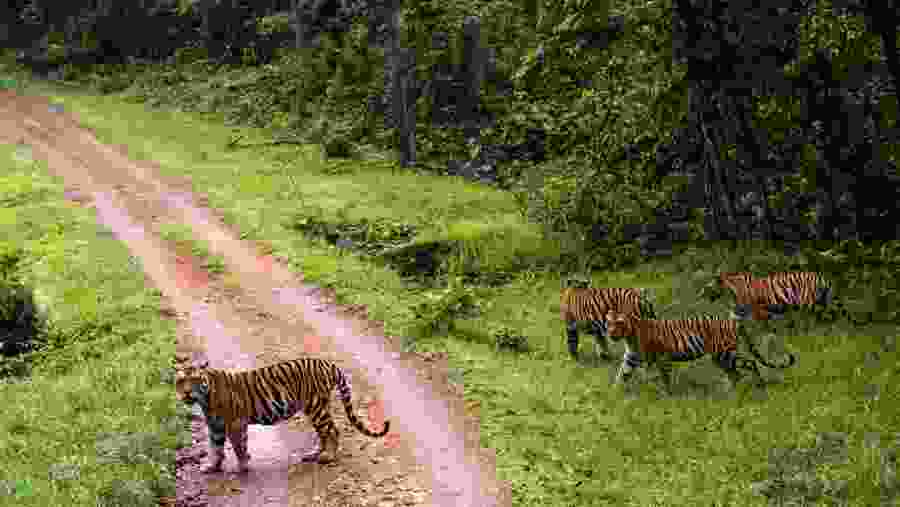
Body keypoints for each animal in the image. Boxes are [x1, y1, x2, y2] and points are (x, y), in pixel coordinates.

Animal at [175, 354, 390, 473]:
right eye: (181, 381)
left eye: (194, 380)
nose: (187, 393)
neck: (205, 398)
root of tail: (327, 363)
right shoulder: (215, 426)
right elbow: (216, 448)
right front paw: (212, 467)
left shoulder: (235, 423)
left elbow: (238, 446)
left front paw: (243, 466)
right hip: (316, 408)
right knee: (324, 432)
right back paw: (313, 454)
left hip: (316, 407)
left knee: (332, 430)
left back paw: (329, 457)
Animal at [604, 311, 796, 393]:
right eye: (609, 322)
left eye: (619, 323)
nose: (611, 333)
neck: (629, 336)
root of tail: (734, 321)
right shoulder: (630, 357)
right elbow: (622, 374)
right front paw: (614, 394)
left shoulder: (662, 358)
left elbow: (663, 377)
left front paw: (666, 393)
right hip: (720, 357)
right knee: (735, 374)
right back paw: (729, 391)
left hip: (725, 353)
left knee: (749, 364)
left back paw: (759, 385)